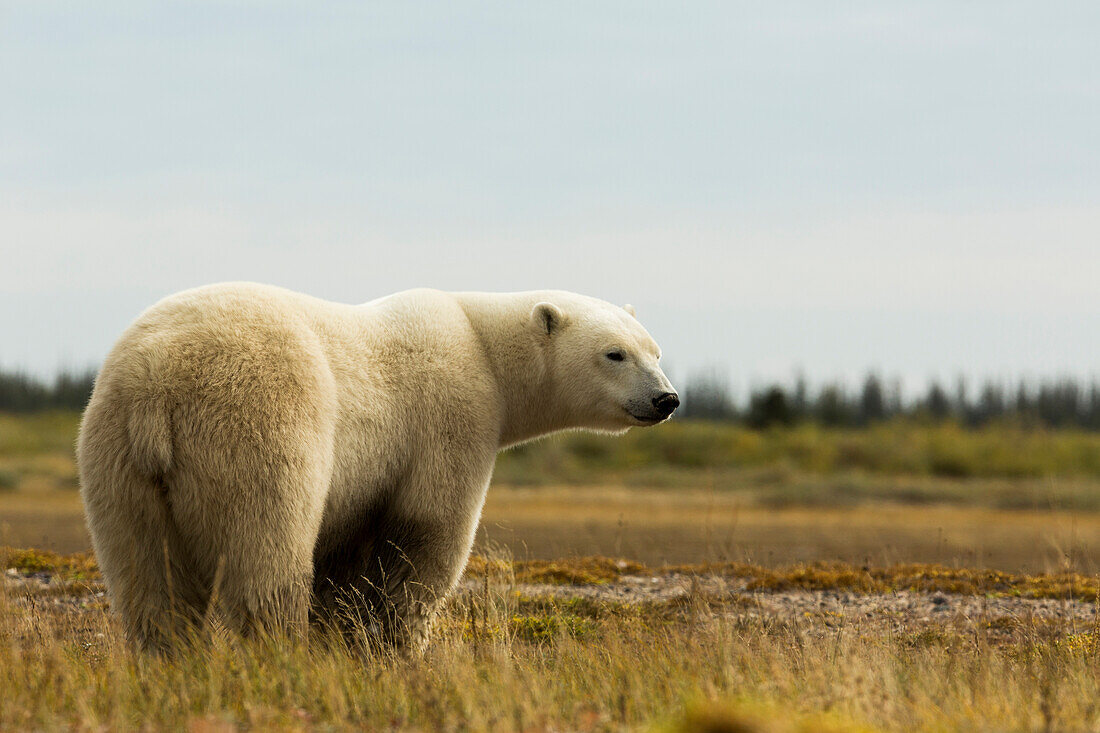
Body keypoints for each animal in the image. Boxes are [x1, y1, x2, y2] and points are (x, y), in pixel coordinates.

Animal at [77, 281, 673, 647]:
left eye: (655, 349)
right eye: (615, 353)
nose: (666, 399)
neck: (482, 344)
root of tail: (157, 385)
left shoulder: (361, 486)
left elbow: (341, 559)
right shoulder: (450, 417)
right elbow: (425, 540)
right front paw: (400, 647)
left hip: (116, 457)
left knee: (148, 578)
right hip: (253, 422)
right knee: (266, 554)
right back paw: (278, 654)